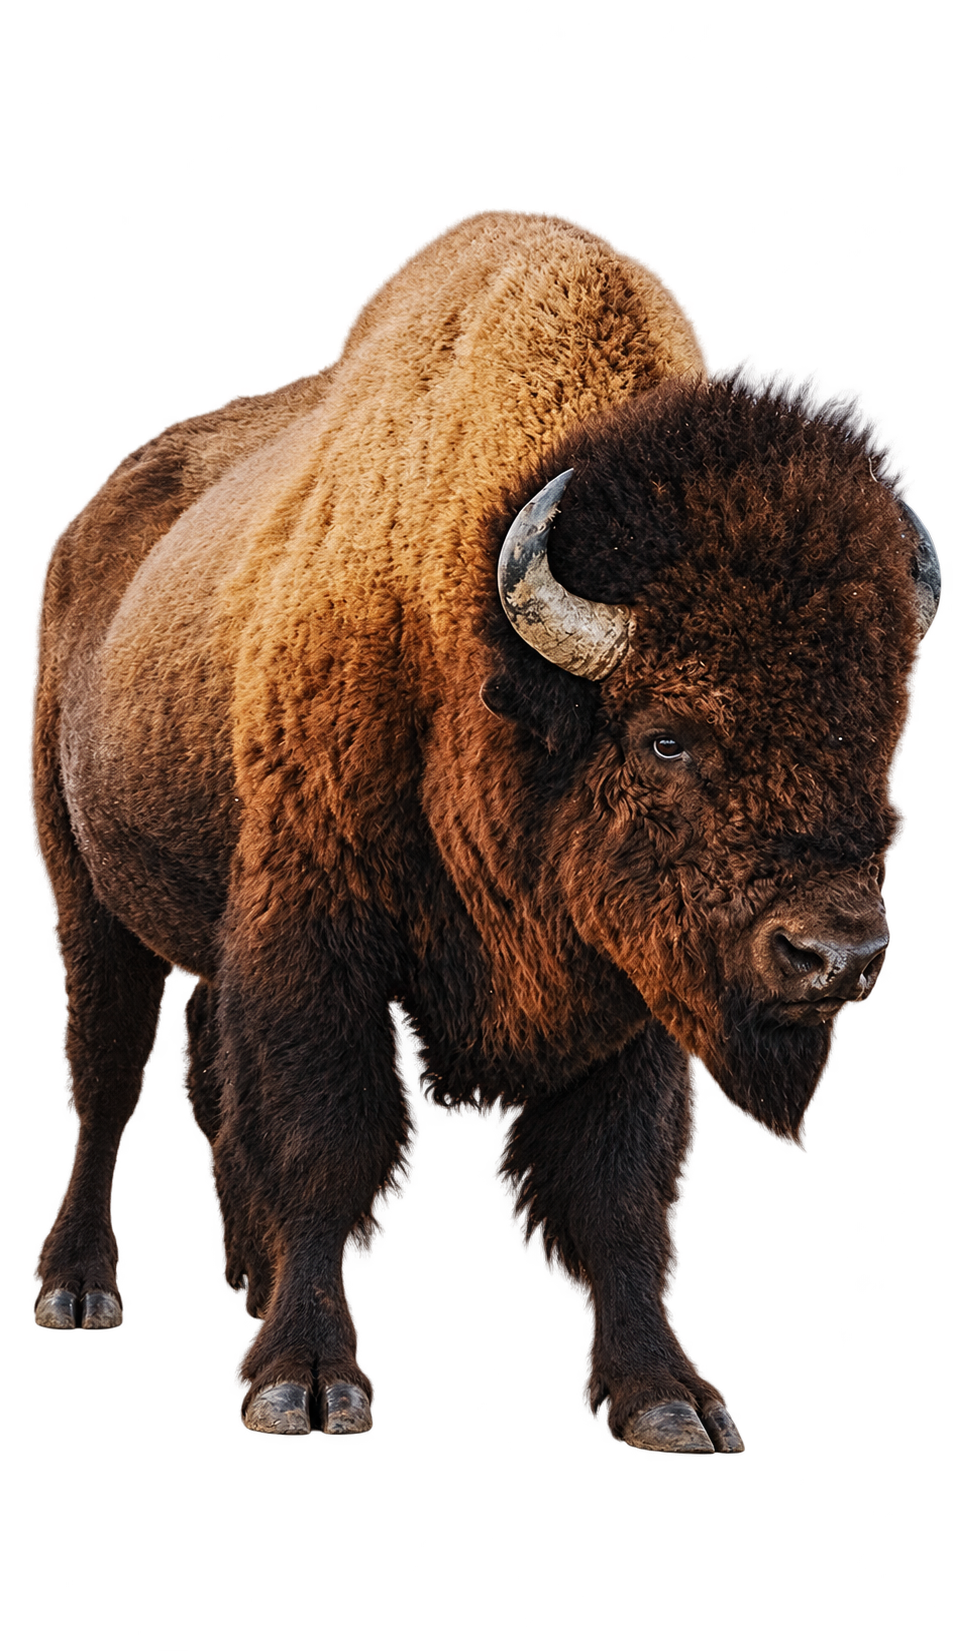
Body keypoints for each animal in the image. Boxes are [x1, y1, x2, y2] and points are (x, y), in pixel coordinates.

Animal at [30, 208, 941, 1453]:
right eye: (664, 736)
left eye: (877, 728)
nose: (836, 957)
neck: (474, 654)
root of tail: (88, 527)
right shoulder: (321, 944)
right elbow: (324, 1144)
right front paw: (304, 1385)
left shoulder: (635, 995)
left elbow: (618, 1193)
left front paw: (667, 1397)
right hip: (86, 893)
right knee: (108, 1079)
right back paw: (80, 1289)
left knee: (204, 1076)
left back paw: (242, 1278)